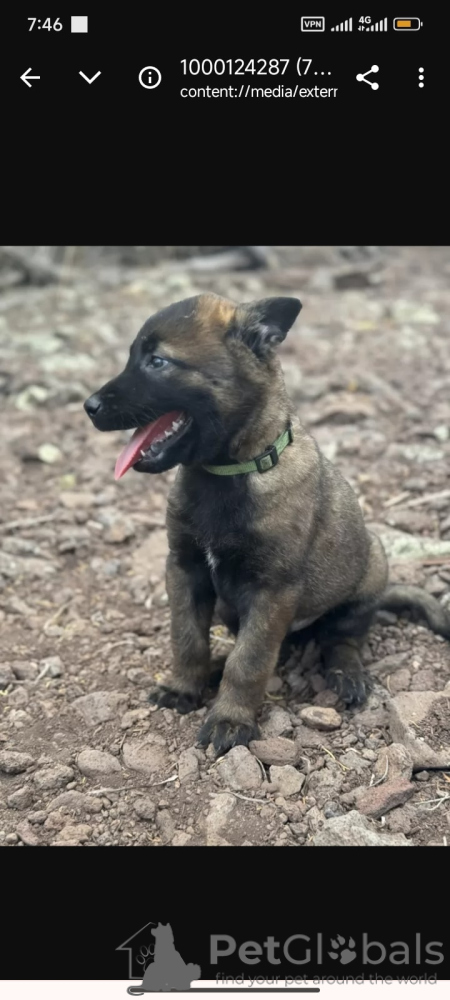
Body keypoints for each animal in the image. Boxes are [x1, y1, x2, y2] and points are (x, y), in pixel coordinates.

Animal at [85, 293, 450, 756]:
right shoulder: (184, 567)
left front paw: (230, 719)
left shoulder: (271, 590)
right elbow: (187, 638)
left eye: (158, 361)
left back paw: (346, 673)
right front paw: (185, 687)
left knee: (341, 637)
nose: (89, 406)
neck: (227, 472)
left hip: (370, 569)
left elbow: (250, 661)